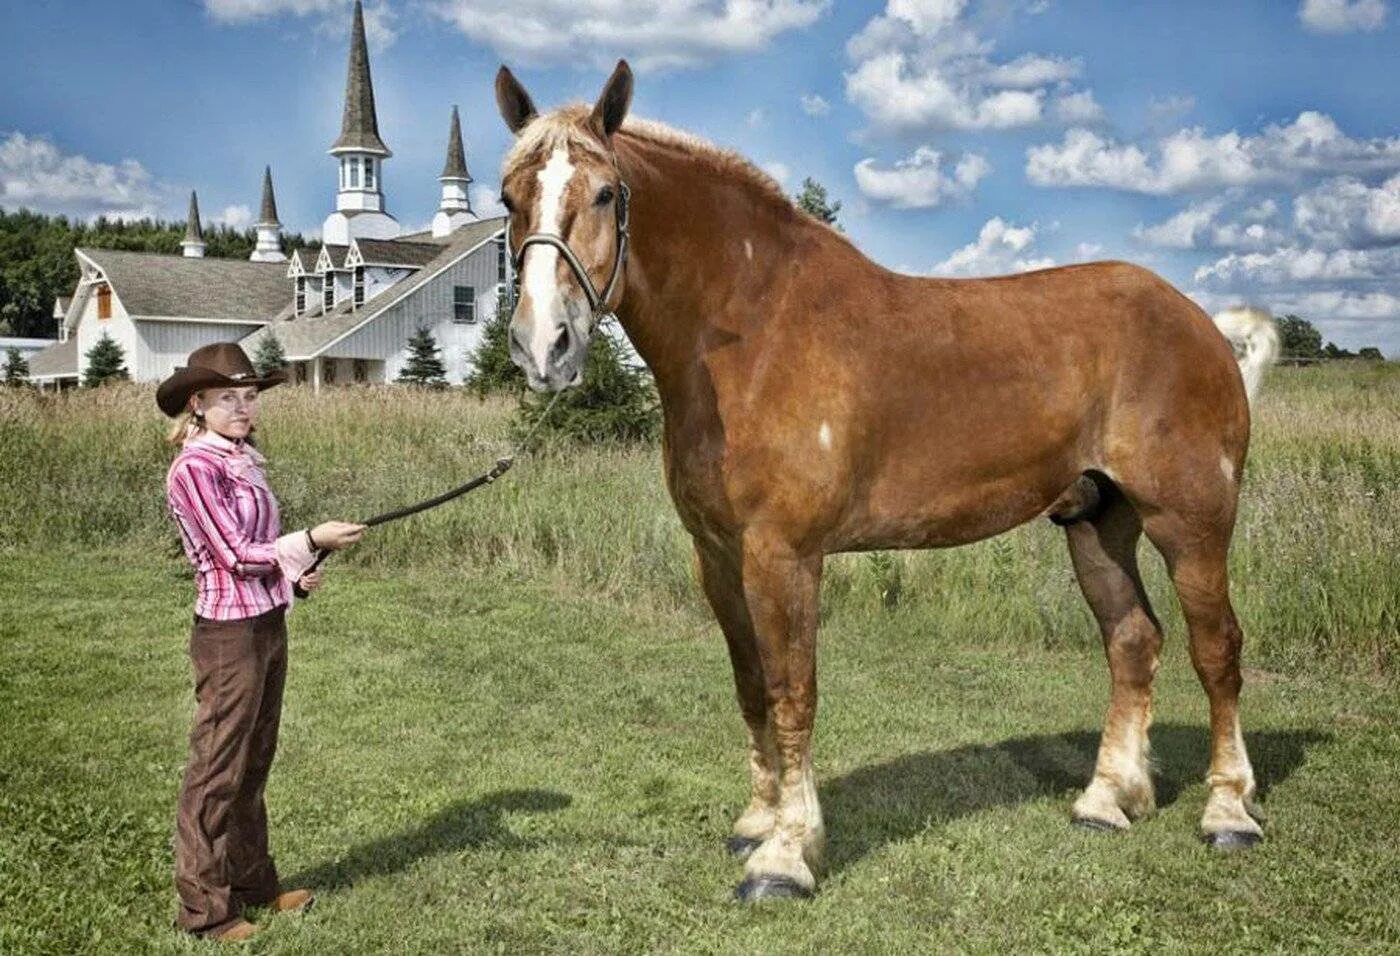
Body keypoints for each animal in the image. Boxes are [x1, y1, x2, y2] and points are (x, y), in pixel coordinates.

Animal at [492, 61, 1282, 907]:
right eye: (508, 197)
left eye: (607, 193)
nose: (543, 346)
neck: (756, 330)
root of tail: (1204, 325)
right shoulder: (718, 556)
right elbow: (750, 685)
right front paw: (757, 822)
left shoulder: (784, 556)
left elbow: (792, 690)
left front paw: (785, 855)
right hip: (1098, 522)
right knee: (1133, 640)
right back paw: (1107, 800)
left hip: (1190, 523)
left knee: (1216, 649)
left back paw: (1229, 811)